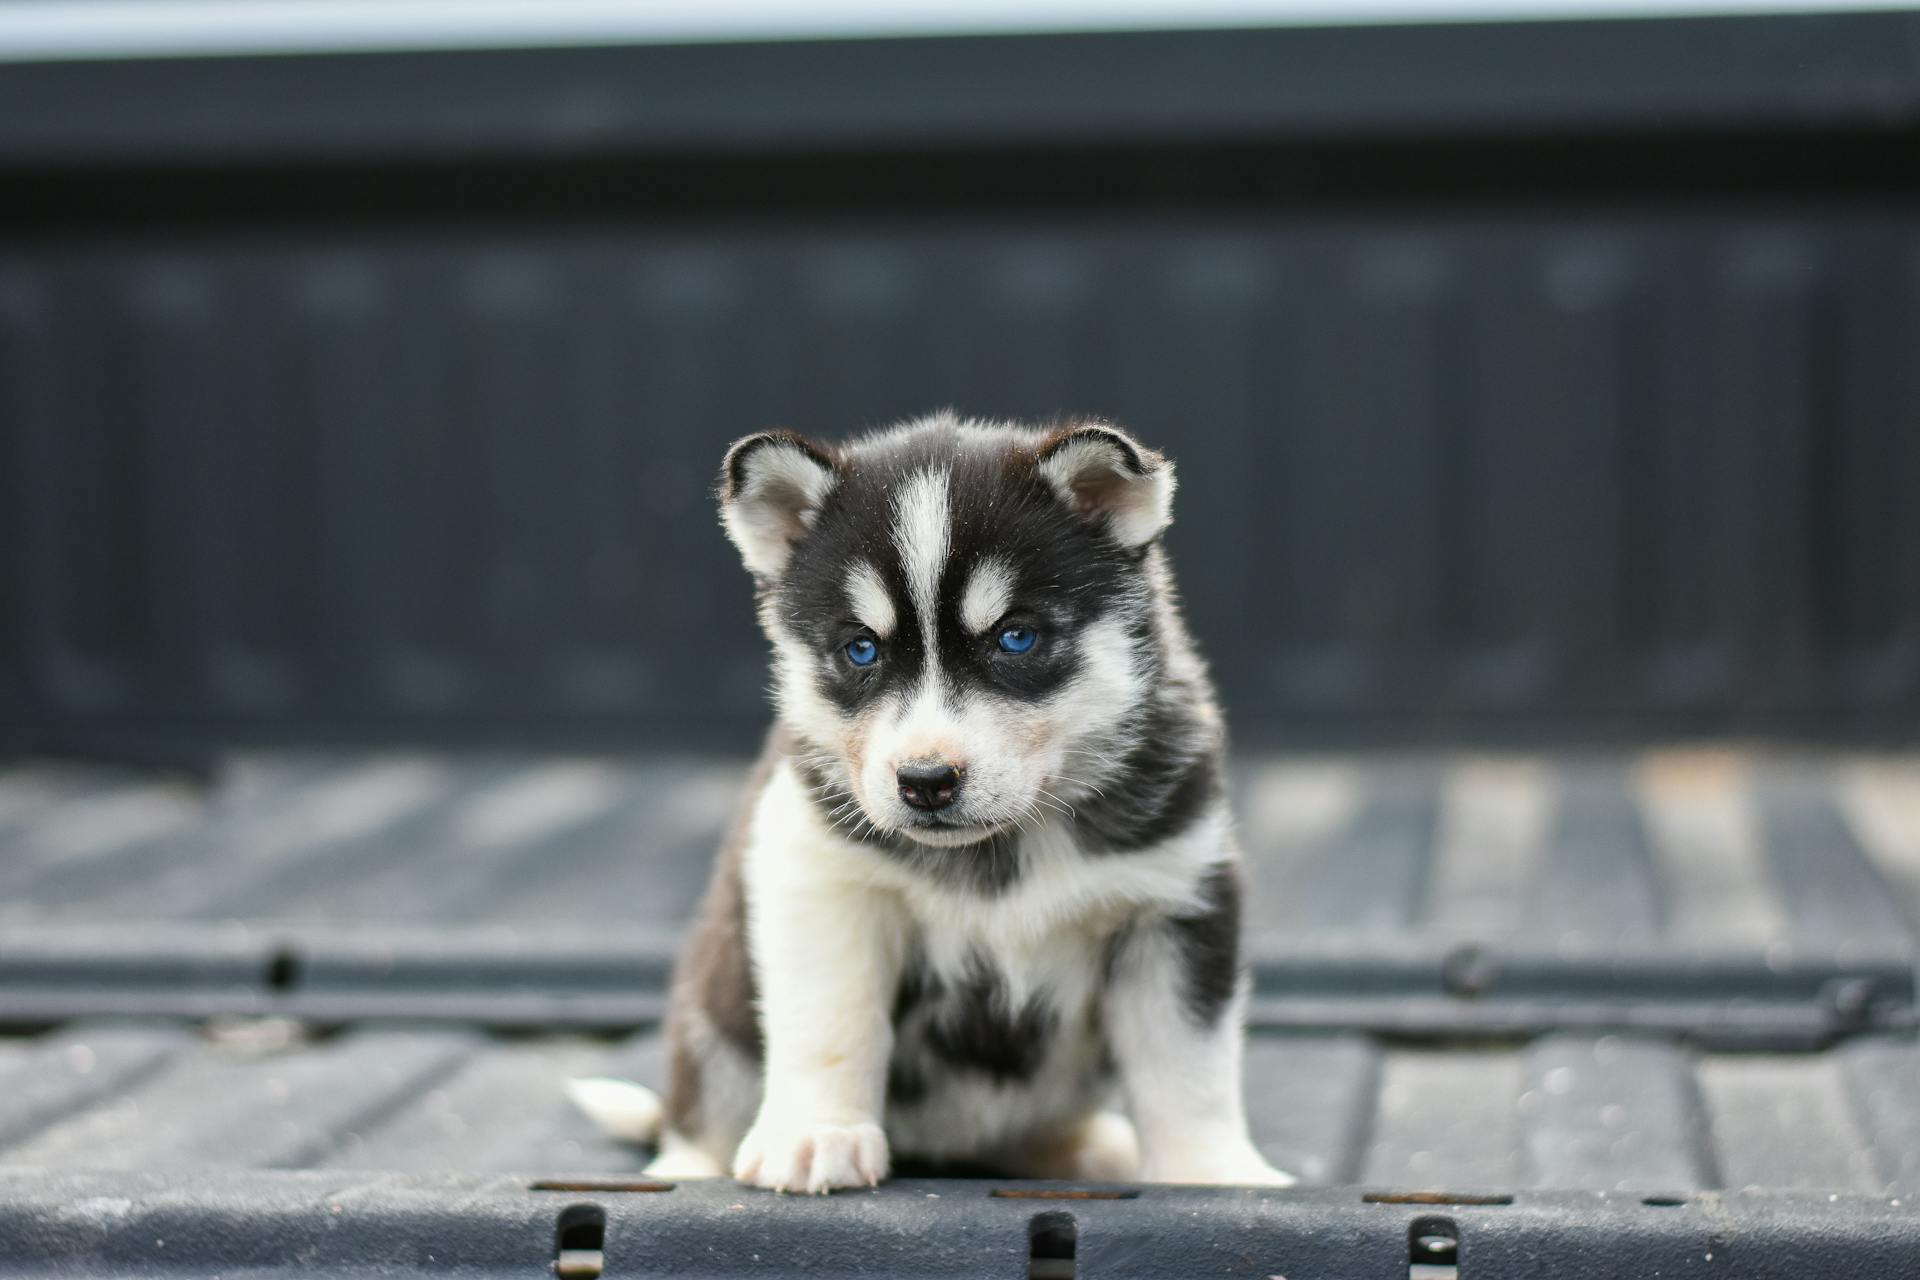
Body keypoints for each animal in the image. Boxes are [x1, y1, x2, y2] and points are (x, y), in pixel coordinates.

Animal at [568, 416, 1290, 1197]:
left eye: (1016, 637)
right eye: (860, 649)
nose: (926, 781)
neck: (1003, 851)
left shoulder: (1175, 901)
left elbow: (1187, 1061)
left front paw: (1210, 1172)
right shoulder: (822, 883)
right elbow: (831, 1020)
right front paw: (817, 1135)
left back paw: (1082, 1149)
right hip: (714, 1020)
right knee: (695, 1116)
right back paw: (689, 1163)